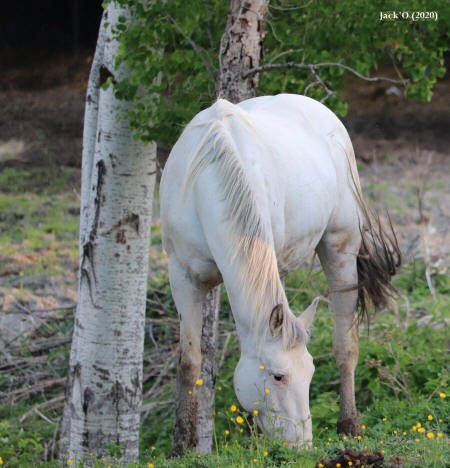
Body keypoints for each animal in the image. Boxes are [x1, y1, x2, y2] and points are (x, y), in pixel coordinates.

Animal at [160, 93, 400, 456]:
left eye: (311, 372)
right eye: (278, 376)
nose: (301, 446)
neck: (209, 178)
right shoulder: (183, 277)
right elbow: (190, 362)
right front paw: (182, 448)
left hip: (340, 250)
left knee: (346, 345)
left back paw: (349, 426)